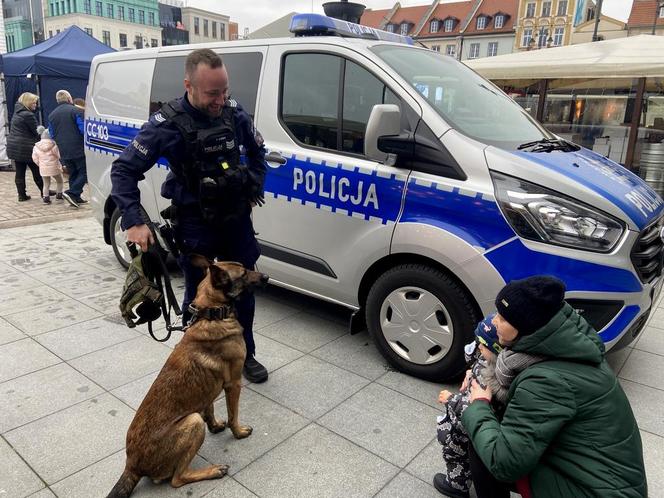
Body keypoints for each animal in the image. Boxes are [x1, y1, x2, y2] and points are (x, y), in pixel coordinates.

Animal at [106, 258, 268, 496]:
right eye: (244, 274)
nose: (266, 277)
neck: (212, 314)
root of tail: (132, 465)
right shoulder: (234, 384)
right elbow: (233, 415)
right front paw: (238, 432)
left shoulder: (208, 390)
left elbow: (209, 408)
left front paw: (215, 426)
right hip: (192, 422)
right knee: (178, 478)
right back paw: (213, 470)